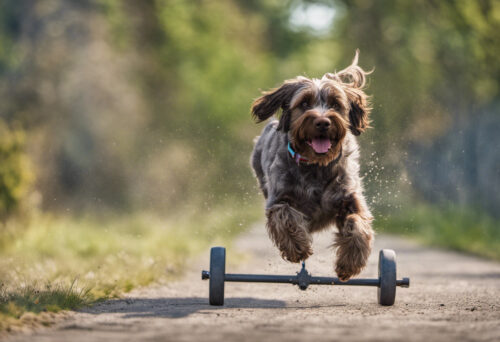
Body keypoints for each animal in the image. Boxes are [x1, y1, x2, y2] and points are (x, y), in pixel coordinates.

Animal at [252, 50, 374, 280]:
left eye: (335, 104)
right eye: (304, 103)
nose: (323, 122)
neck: (316, 165)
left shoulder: (349, 197)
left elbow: (357, 223)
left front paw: (350, 262)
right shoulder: (278, 198)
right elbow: (285, 216)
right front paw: (297, 248)